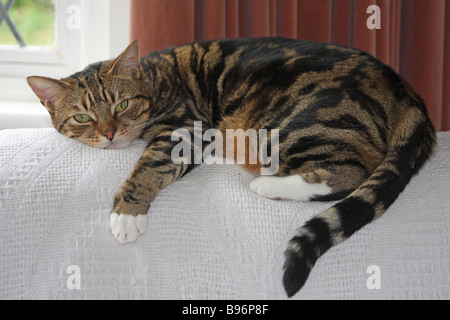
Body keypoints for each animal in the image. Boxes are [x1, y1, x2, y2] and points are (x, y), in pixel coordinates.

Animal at [26, 37, 434, 298]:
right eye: (82, 117)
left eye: (122, 105)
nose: (110, 133)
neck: (154, 78)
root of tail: (407, 92)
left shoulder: (183, 129)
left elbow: (148, 166)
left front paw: (127, 213)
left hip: (297, 122)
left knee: (351, 173)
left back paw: (269, 185)